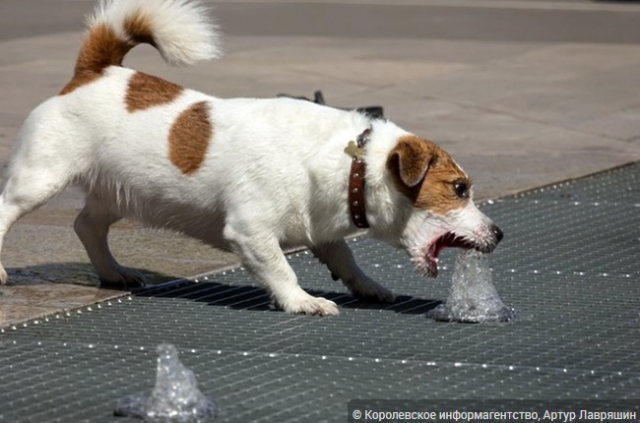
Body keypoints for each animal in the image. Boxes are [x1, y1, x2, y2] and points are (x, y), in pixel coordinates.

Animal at [0, 0, 502, 314]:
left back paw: (112, 272)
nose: (499, 234)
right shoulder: (250, 232)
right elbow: (280, 268)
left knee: (87, 225)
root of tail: (97, 71)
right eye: (459, 188)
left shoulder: (320, 230)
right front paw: (302, 301)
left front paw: (367, 286)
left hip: (119, 192)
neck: (352, 163)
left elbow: (343, 257)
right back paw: (3, 270)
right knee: (7, 209)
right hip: (41, 177)